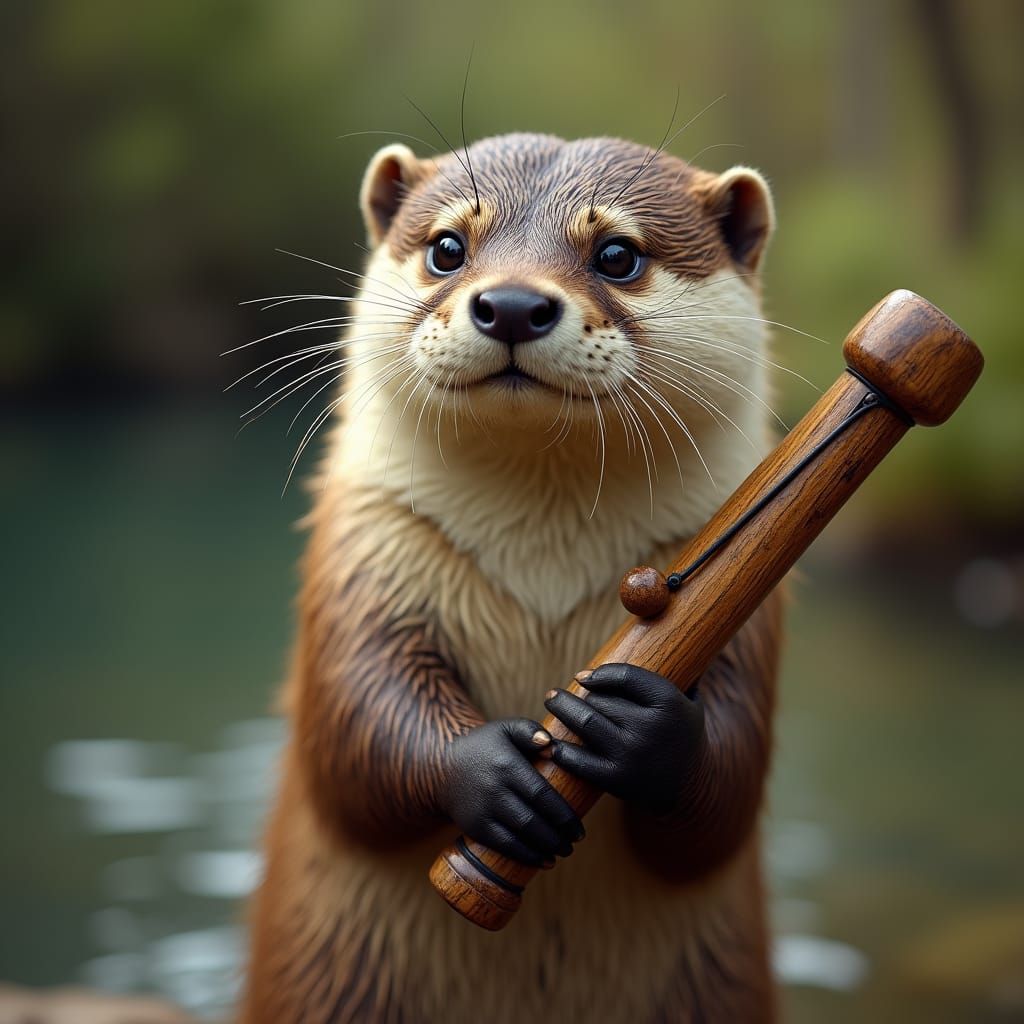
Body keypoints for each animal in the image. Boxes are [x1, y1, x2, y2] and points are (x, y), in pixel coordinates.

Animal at [241, 133, 784, 1023]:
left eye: (618, 254)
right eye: (447, 247)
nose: (515, 305)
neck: (544, 572)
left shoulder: (754, 618)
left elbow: (728, 790)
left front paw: (644, 731)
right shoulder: (366, 558)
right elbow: (357, 722)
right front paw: (495, 776)